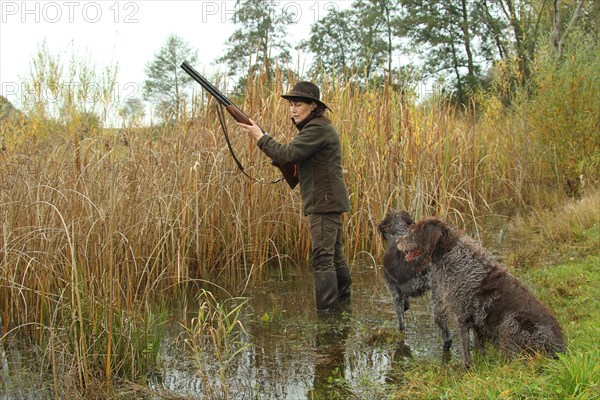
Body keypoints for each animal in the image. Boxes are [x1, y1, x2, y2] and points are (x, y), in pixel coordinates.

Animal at [396, 217, 564, 368]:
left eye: (413, 233)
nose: (397, 241)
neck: (448, 253)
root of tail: (559, 349)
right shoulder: (475, 319)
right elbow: (478, 346)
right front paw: (480, 361)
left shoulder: (462, 317)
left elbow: (465, 347)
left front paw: (466, 367)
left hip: (511, 322)